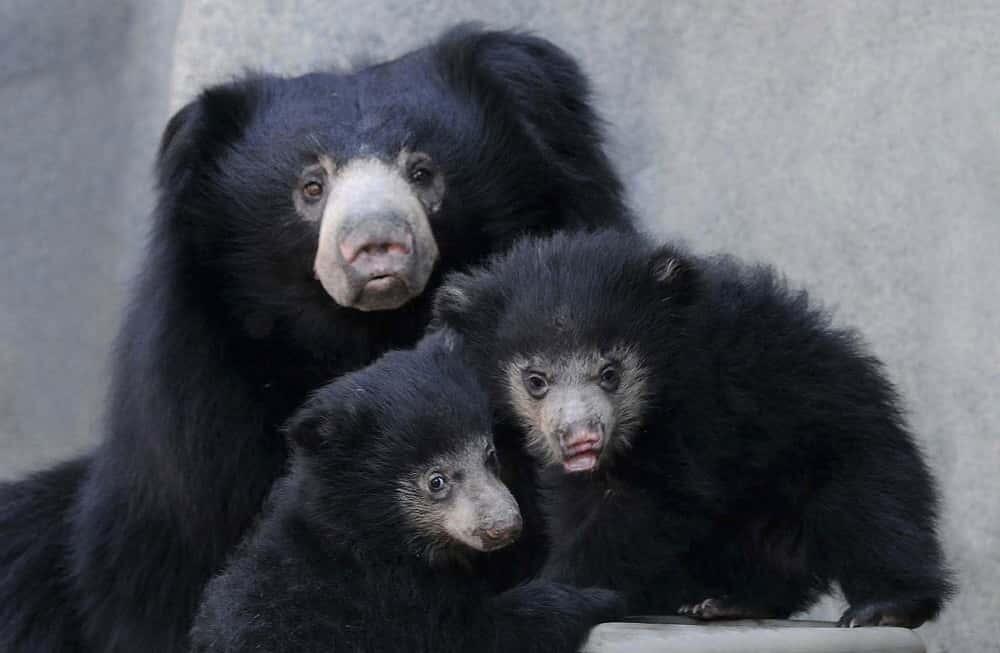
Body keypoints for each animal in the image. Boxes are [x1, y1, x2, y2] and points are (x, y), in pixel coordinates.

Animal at [190, 332, 620, 652]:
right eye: (436, 481)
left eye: (490, 455)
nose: (505, 527)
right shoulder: (383, 598)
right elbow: (472, 634)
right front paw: (596, 598)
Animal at [436, 232, 952, 628]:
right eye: (536, 380)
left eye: (610, 373)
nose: (582, 437)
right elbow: (579, 502)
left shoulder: (703, 404)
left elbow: (655, 501)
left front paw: (560, 589)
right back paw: (730, 601)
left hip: (841, 440)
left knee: (872, 511)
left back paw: (885, 607)